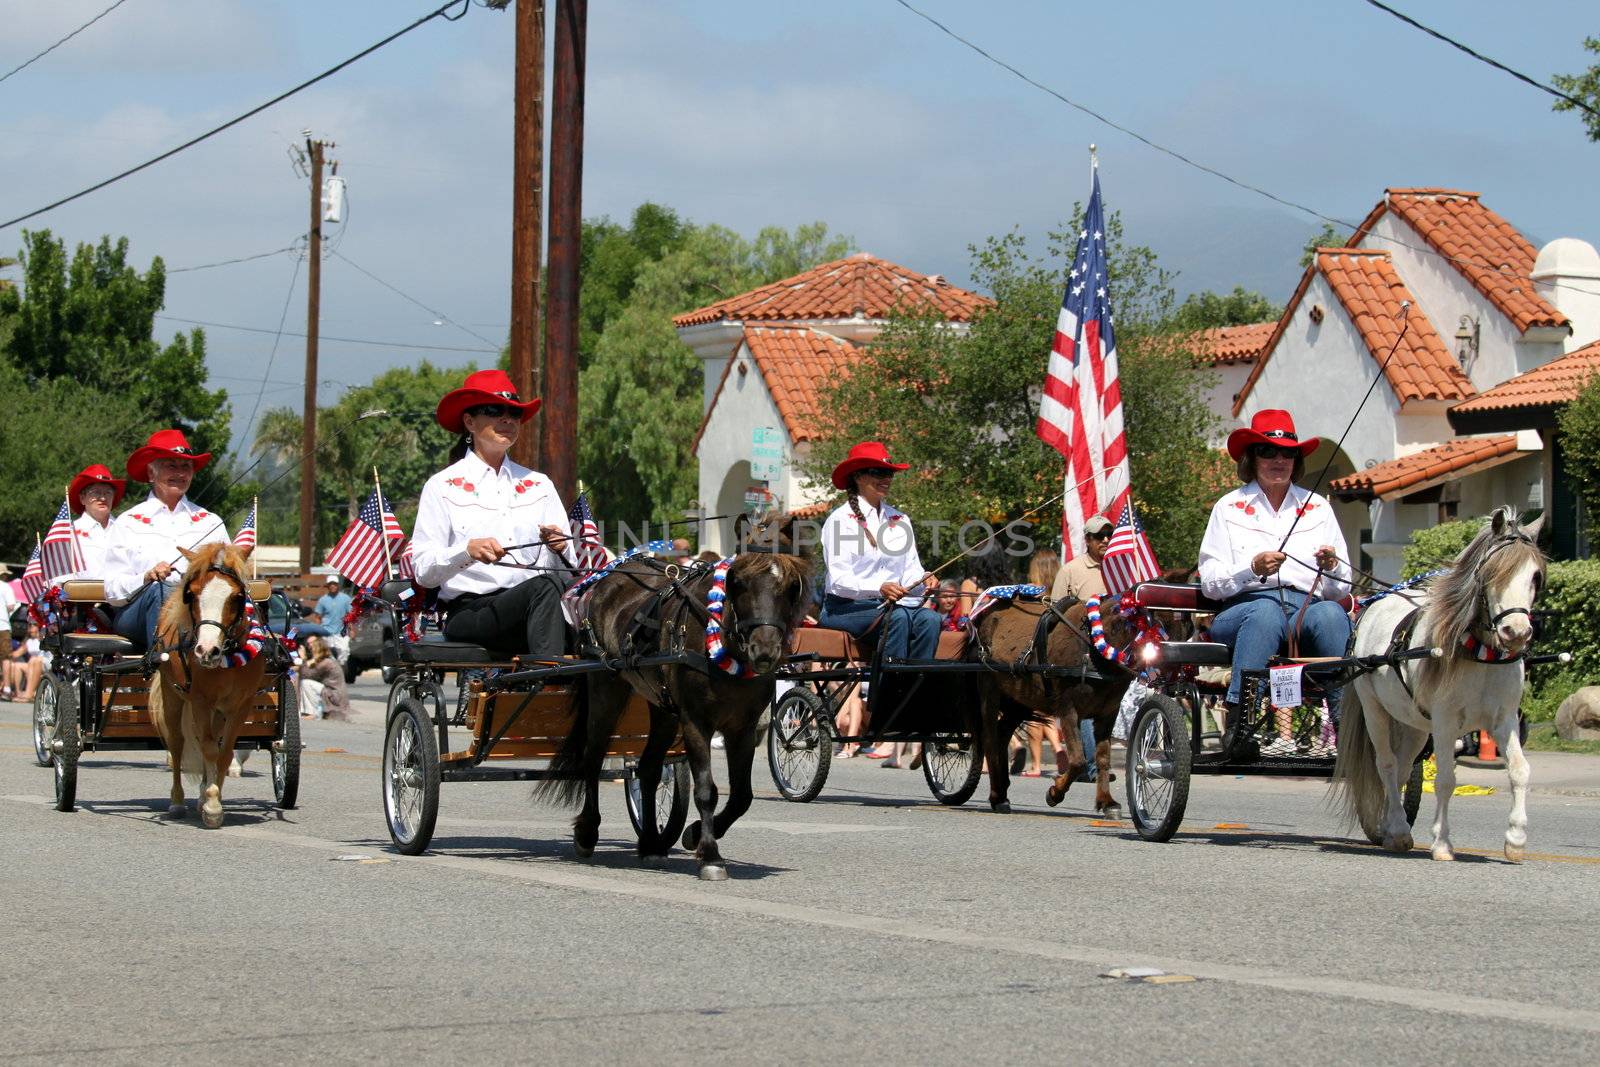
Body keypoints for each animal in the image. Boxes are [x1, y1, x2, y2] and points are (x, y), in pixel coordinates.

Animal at [147, 547, 268, 831]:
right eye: (192, 593)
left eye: (237, 596)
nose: (206, 651)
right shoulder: (200, 700)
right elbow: (209, 749)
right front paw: (213, 805)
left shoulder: (241, 705)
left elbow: (223, 753)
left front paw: (212, 799)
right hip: (173, 696)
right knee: (178, 744)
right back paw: (177, 802)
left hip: (218, 712)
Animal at [540, 521, 812, 883]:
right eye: (738, 581)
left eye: (792, 586)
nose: (764, 649)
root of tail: (605, 578)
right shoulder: (696, 721)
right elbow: (707, 790)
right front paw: (710, 855)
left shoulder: (743, 727)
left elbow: (741, 796)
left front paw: (695, 834)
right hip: (605, 688)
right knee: (593, 757)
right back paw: (588, 832)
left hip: (663, 708)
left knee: (649, 769)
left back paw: (651, 845)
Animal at [1331, 505, 1542, 863]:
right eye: (1491, 574)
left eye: (1535, 576)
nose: (1516, 632)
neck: (1479, 652)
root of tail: (1372, 604)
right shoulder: (1445, 721)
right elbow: (1446, 779)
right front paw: (1442, 843)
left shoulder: (1504, 719)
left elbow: (1519, 770)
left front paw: (1515, 839)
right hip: (1375, 710)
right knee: (1387, 765)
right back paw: (1399, 829)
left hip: (1414, 725)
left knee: (1403, 769)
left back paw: (1392, 828)